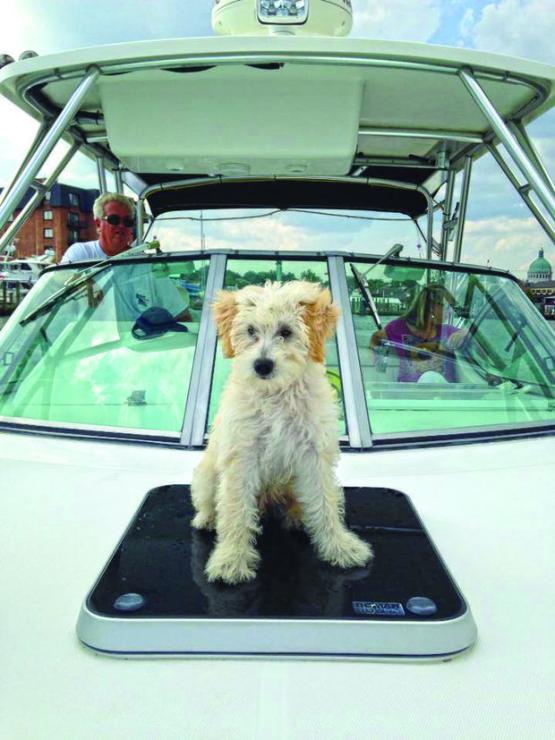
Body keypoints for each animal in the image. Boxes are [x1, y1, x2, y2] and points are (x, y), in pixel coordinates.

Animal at [191, 282, 374, 584]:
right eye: (251, 330)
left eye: (286, 332)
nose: (262, 365)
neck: (276, 394)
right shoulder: (242, 454)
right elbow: (235, 510)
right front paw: (231, 560)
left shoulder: (314, 454)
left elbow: (324, 504)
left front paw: (341, 547)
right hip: (206, 474)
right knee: (210, 502)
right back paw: (207, 519)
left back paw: (299, 515)